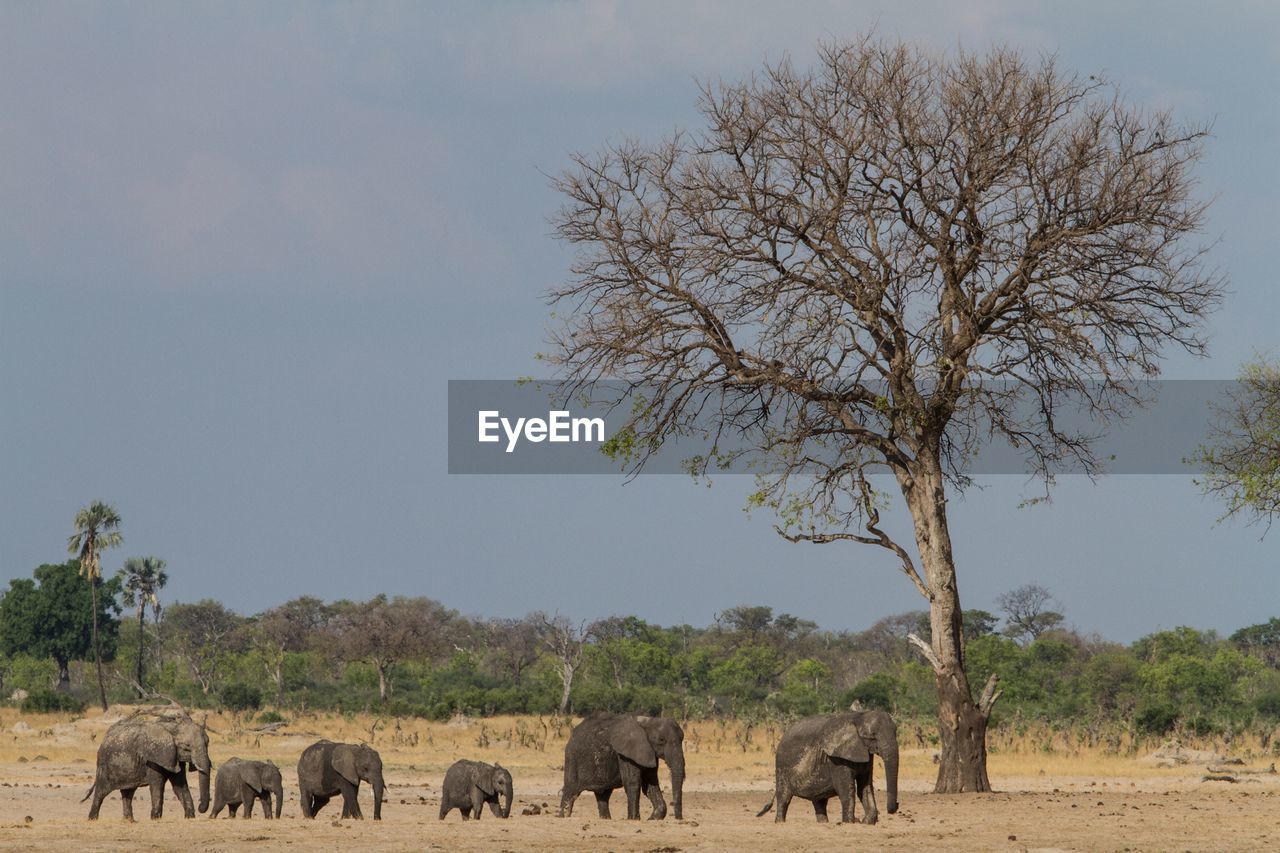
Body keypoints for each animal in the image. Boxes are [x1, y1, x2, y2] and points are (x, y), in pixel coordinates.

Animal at [83, 712, 212, 819]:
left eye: (207, 743)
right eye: (187, 746)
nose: (200, 808)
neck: (172, 728)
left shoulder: (174, 757)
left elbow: (179, 785)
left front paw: (190, 817)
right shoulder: (153, 758)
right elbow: (157, 784)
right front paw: (155, 818)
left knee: (128, 792)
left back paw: (129, 821)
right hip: (104, 765)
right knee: (101, 792)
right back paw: (92, 818)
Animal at [558, 706, 686, 819]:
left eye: (682, 739)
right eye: (661, 740)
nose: (678, 819)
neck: (647, 721)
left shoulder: (649, 752)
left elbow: (651, 783)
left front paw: (653, 818)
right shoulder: (625, 754)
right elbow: (632, 782)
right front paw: (633, 819)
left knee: (603, 795)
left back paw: (605, 818)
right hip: (572, 758)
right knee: (570, 792)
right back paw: (563, 816)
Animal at [757, 706, 901, 819]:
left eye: (896, 731)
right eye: (872, 735)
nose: (896, 805)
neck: (858, 717)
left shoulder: (865, 754)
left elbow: (865, 788)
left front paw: (867, 821)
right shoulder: (836, 759)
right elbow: (847, 791)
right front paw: (849, 822)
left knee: (819, 803)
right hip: (781, 766)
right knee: (784, 800)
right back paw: (780, 821)